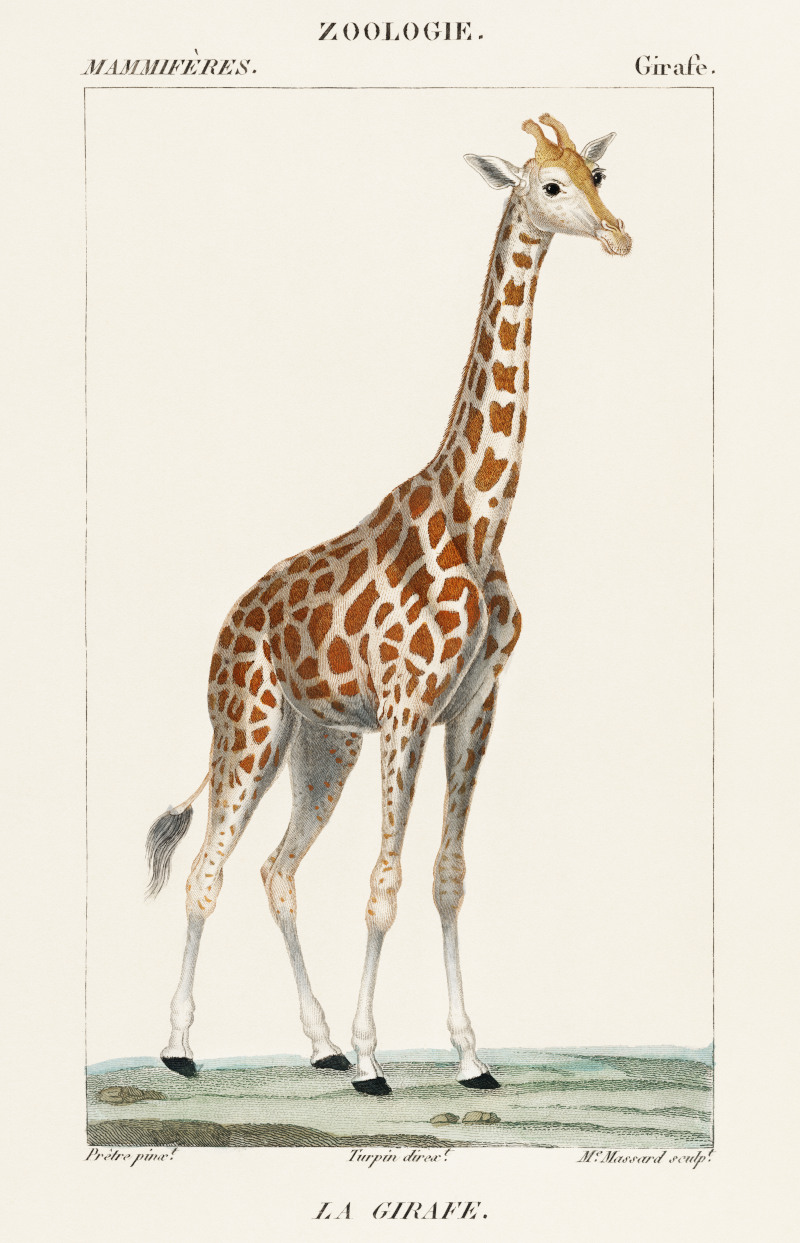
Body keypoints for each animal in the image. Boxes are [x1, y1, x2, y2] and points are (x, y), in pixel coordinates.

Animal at [145, 113, 632, 1095]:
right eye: (548, 185)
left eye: (595, 174)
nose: (618, 234)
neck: (480, 518)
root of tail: (225, 629)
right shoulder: (406, 706)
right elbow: (385, 883)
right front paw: (377, 1056)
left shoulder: (473, 705)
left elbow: (445, 876)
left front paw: (470, 1055)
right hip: (247, 728)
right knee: (207, 869)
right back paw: (182, 1044)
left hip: (318, 743)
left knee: (276, 869)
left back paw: (320, 1040)